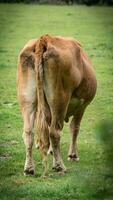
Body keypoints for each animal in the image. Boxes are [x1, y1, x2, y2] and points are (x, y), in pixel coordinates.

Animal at [17, 34, 96, 177]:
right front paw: (73, 155)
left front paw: (51, 152)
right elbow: (75, 127)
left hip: (27, 100)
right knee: (54, 132)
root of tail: (44, 39)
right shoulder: (82, 106)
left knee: (28, 132)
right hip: (60, 101)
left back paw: (29, 168)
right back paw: (59, 166)